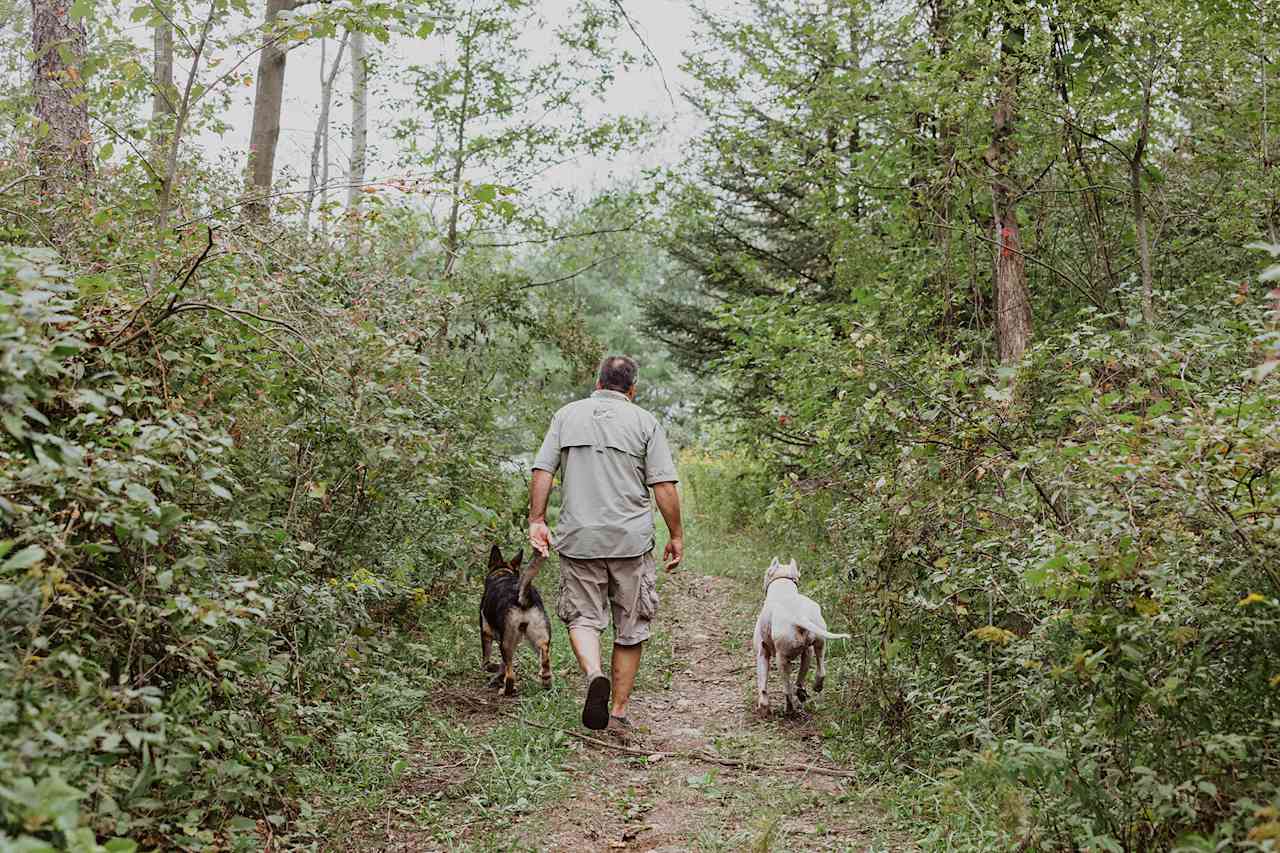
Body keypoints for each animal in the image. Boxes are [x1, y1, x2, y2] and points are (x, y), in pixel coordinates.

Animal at [481, 545, 550, 691]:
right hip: (540, 641)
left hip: (506, 644)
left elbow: (486, 661)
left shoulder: (486, 632)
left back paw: (505, 690)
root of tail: (523, 599)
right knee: (546, 666)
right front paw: (497, 676)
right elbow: (502, 666)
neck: (503, 573)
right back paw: (546, 684)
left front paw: (493, 670)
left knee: (511, 677)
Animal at [747, 558, 849, 712]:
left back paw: (789, 708)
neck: (783, 586)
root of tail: (799, 616)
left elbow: (762, 683)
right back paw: (811, 688)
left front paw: (763, 705)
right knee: (818, 670)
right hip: (818, 645)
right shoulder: (806, 651)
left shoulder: (762, 652)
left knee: (787, 689)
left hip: (782, 659)